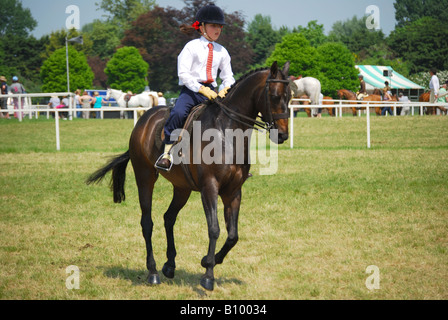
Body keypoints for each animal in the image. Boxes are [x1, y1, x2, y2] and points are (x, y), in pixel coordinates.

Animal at [86, 61, 292, 292]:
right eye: (274, 95)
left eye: (290, 96)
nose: (282, 135)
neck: (226, 132)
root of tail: (145, 119)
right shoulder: (209, 188)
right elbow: (214, 229)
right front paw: (208, 276)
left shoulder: (233, 191)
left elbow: (233, 235)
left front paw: (209, 260)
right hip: (145, 179)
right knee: (147, 223)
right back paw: (153, 272)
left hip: (182, 188)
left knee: (168, 217)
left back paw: (169, 265)